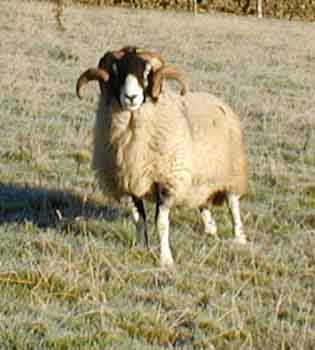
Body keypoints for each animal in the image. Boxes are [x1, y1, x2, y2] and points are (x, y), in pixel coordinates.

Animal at [76, 45, 249, 266]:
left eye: (147, 72)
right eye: (115, 72)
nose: (131, 97)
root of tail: (217, 100)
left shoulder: (166, 182)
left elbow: (161, 223)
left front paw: (166, 260)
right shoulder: (130, 183)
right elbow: (139, 220)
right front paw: (140, 249)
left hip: (232, 173)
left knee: (233, 205)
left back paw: (239, 238)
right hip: (199, 179)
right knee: (203, 204)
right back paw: (210, 230)